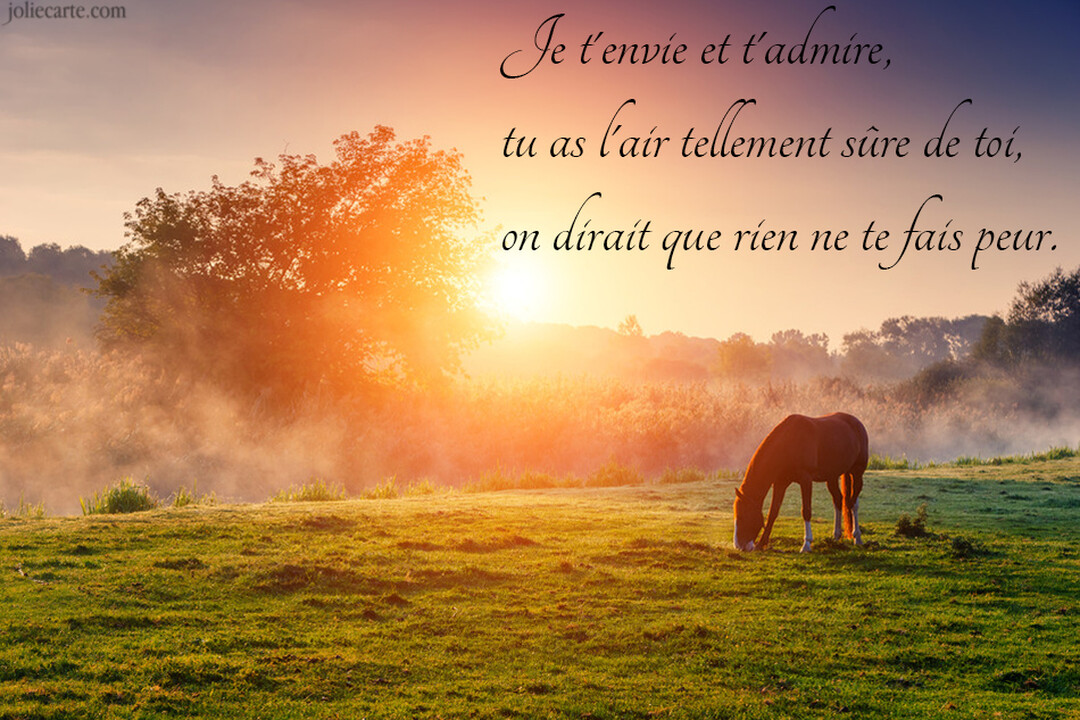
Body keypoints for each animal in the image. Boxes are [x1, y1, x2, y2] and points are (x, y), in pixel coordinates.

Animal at [732, 412, 868, 552]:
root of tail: (856, 422)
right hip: (832, 477)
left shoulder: (806, 480)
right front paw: (761, 543)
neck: (789, 442)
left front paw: (806, 544)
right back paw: (836, 537)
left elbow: (806, 511)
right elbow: (773, 512)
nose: (738, 545)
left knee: (853, 504)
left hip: (857, 472)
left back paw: (857, 537)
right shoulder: (780, 483)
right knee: (838, 500)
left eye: (742, 515)